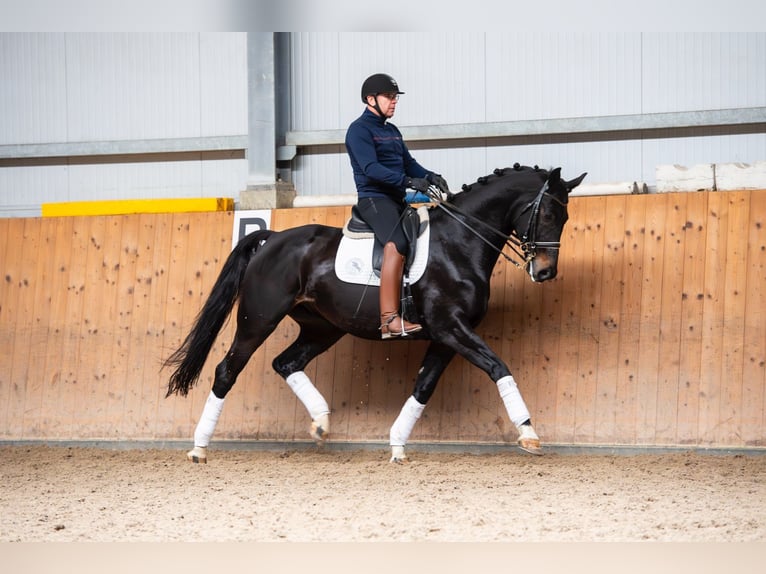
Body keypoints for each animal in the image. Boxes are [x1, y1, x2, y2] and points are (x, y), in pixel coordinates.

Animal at [165, 162, 592, 464]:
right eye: (548, 215)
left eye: (566, 218)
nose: (545, 272)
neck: (459, 242)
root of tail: (272, 239)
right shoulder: (450, 327)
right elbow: (498, 367)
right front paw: (528, 433)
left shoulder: (447, 336)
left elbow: (423, 387)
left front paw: (397, 446)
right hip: (258, 320)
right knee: (227, 371)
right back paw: (199, 448)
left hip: (322, 328)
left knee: (286, 363)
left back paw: (321, 422)